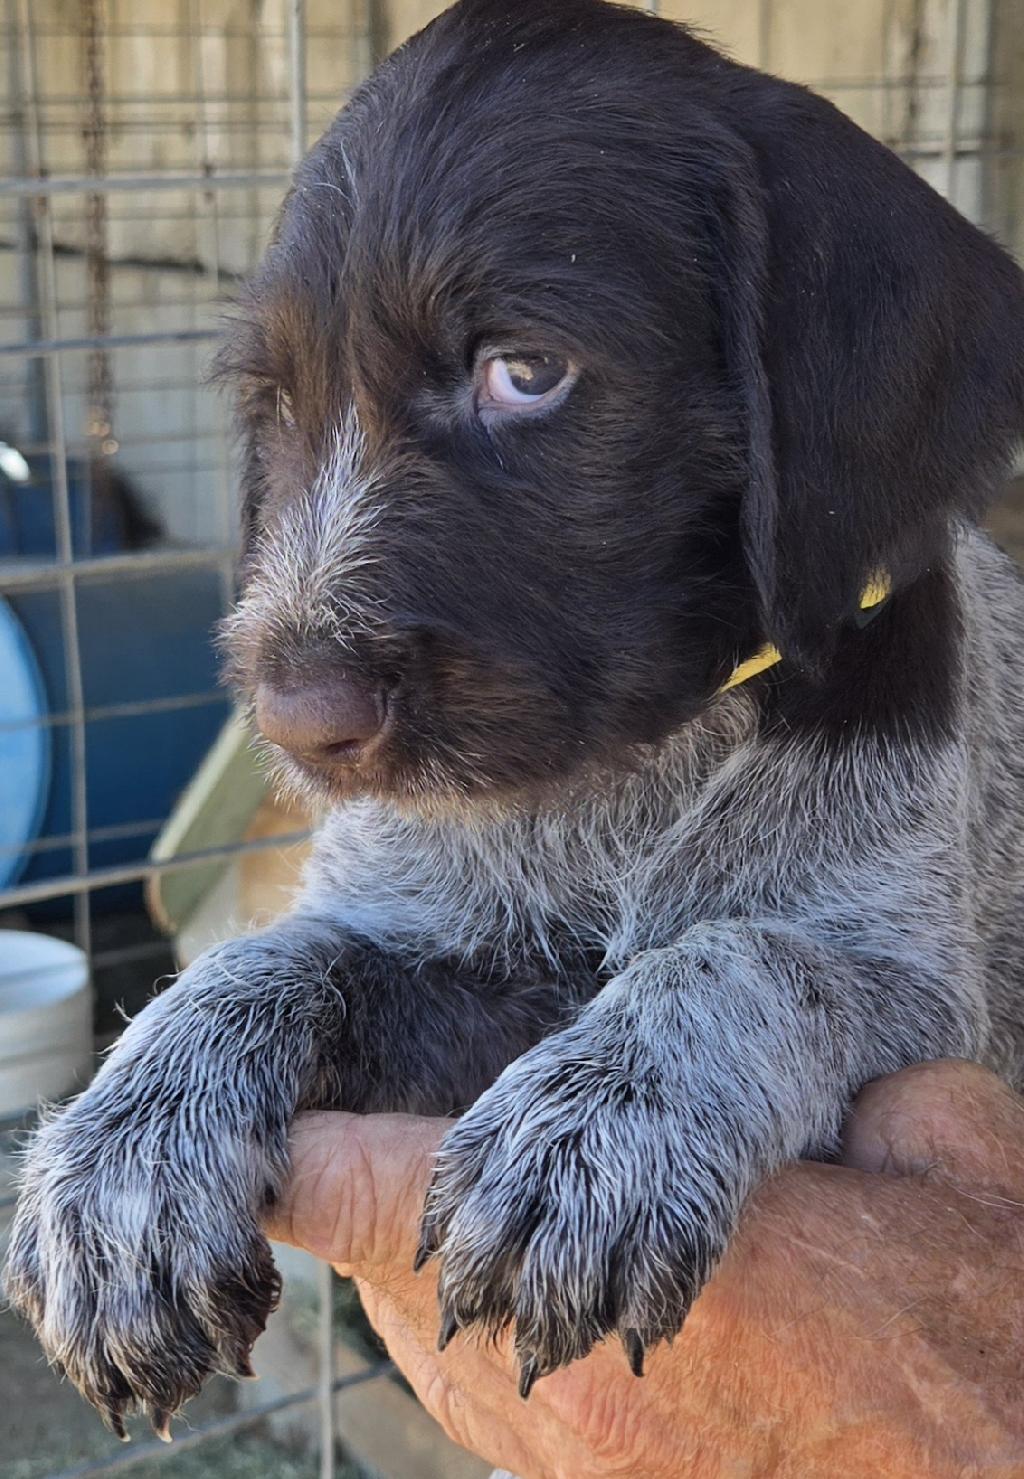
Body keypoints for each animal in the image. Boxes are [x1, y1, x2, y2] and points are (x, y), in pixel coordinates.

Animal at [6, 0, 1024, 1437]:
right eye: (275, 404)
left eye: (526, 373)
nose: (293, 720)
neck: (623, 771)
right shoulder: (446, 945)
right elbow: (273, 955)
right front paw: (124, 1148)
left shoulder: (936, 1008)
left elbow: (748, 954)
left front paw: (604, 1128)